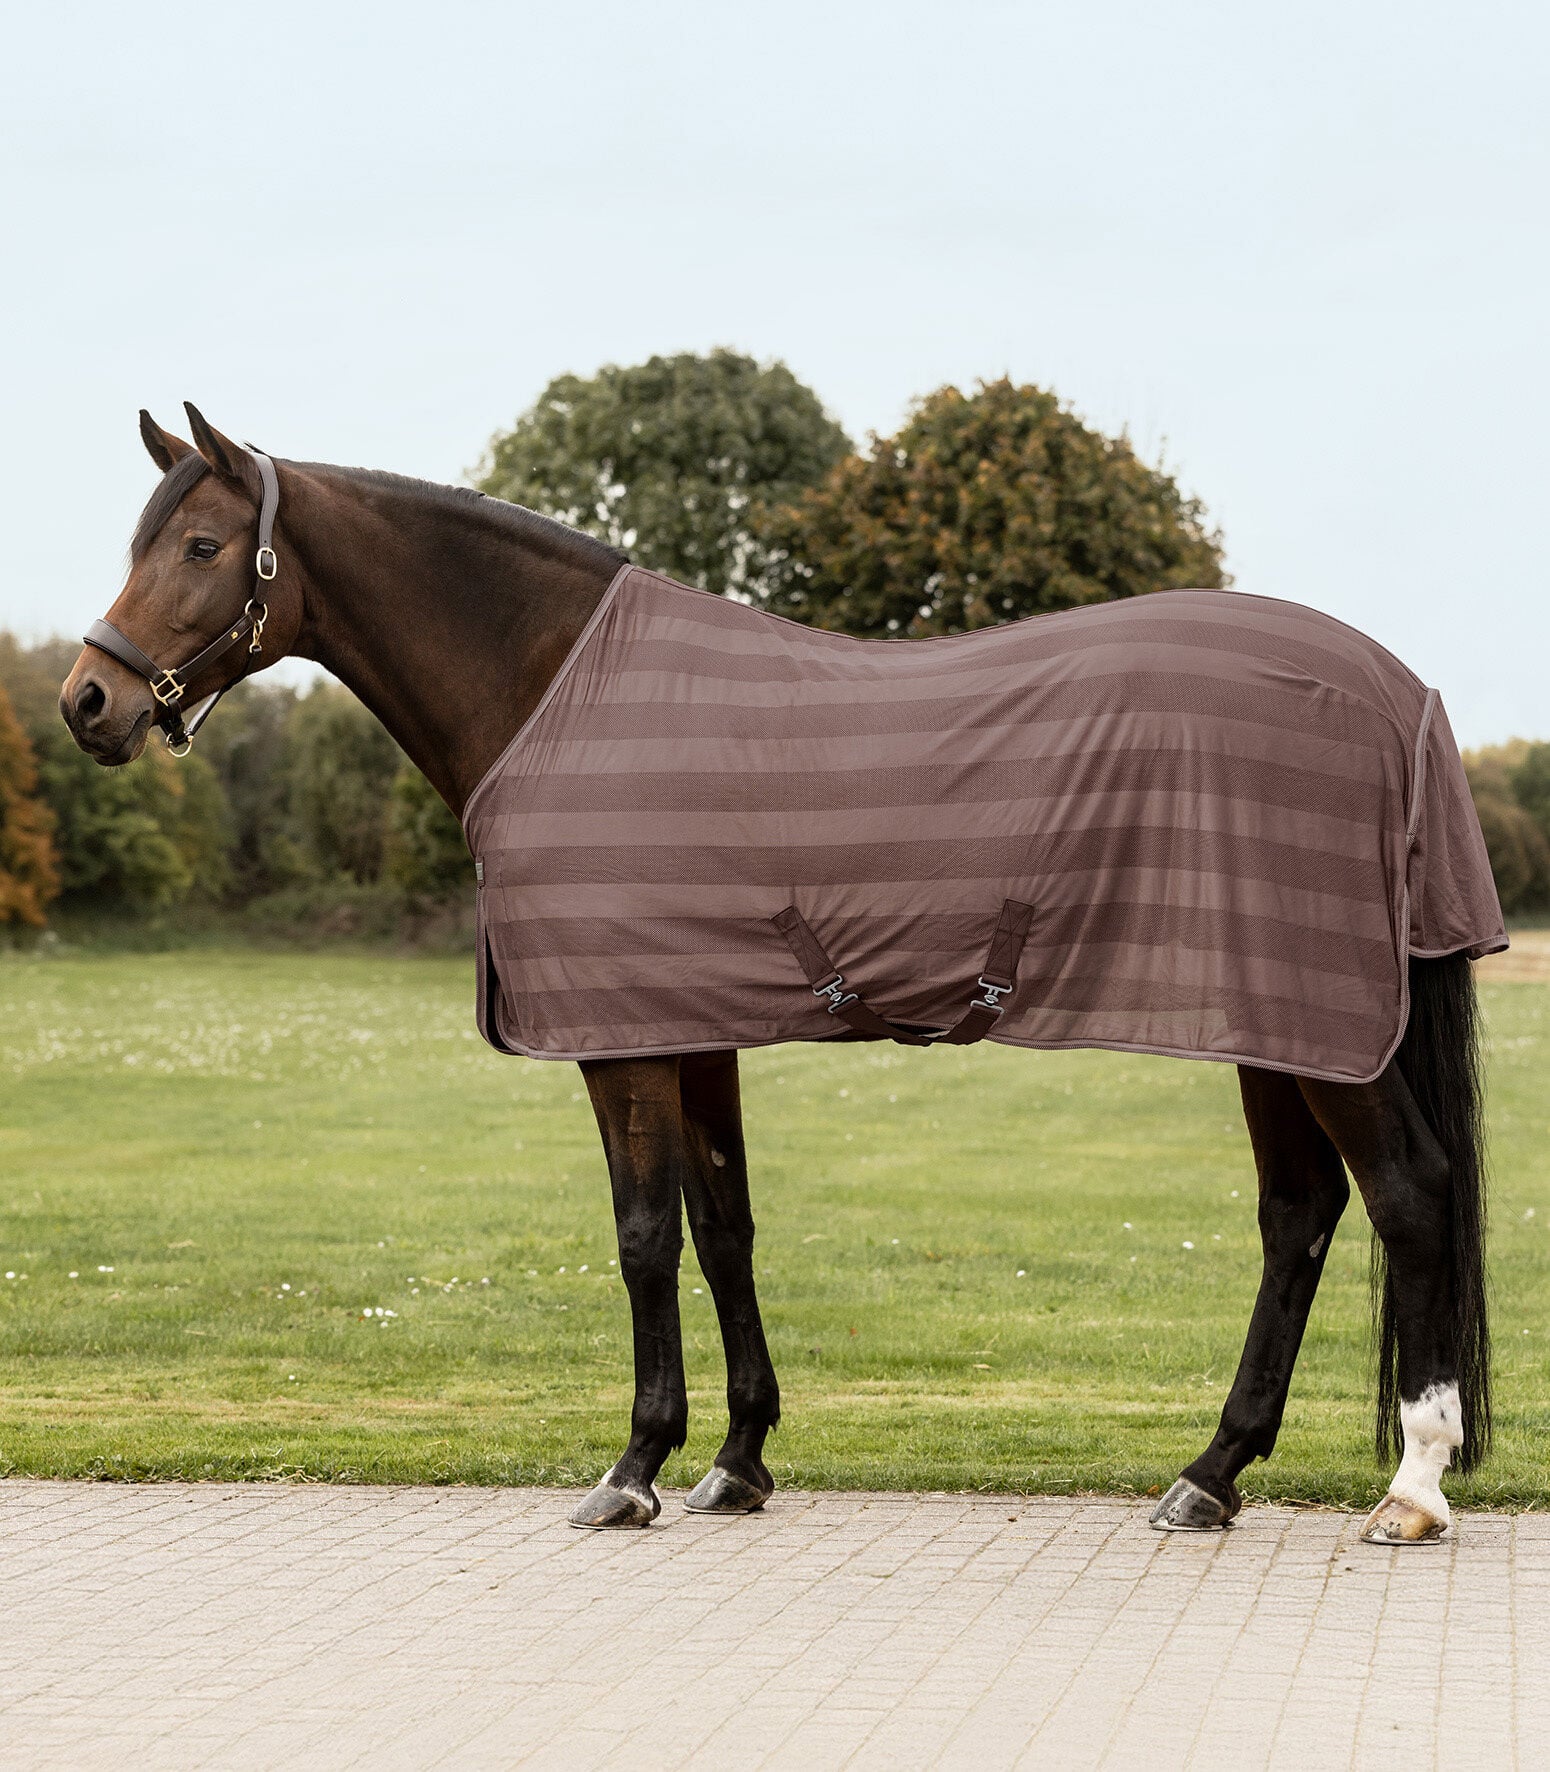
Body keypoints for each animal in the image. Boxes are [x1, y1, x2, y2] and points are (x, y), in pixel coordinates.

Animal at [60, 405, 1502, 1545]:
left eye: (200, 548)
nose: (88, 702)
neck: (559, 690)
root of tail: (1397, 693)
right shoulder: (694, 1026)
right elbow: (723, 1228)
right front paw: (737, 1461)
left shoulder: (624, 1040)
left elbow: (643, 1237)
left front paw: (633, 1465)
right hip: (1277, 1023)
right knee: (1299, 1215)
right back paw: (1209, 1474)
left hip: (1325, 1028)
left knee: (1408, 1193)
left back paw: (1410, 1487)